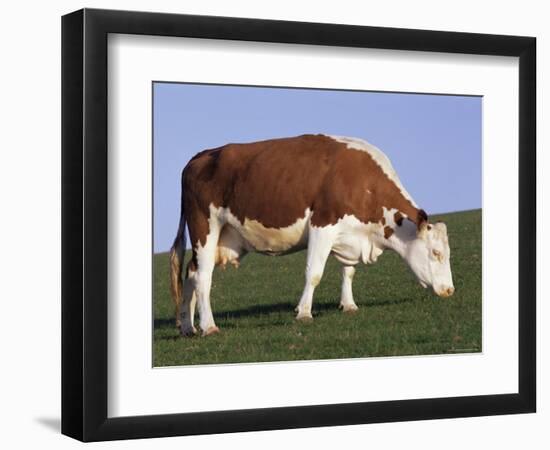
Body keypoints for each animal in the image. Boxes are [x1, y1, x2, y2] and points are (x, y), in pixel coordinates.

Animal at [170, 134, 454, 338]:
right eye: (435, 253)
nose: (450, 290)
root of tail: (201, 155)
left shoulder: (348, 235)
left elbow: (348, 271)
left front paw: (349, 305)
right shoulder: (322, 226)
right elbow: (314, 273)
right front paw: (304, 312)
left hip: (223, 238)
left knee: (191, 273)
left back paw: (188, 327)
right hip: (204, 228)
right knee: (203, 277)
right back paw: (208, 326)